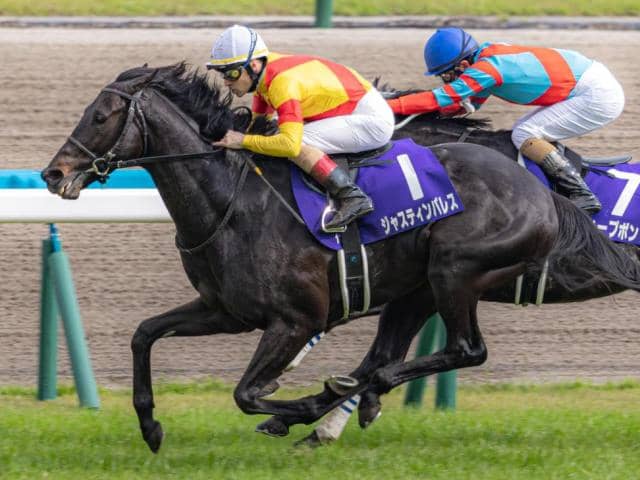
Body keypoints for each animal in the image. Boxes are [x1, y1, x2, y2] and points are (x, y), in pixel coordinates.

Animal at [41, 63, 640, 453]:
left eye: (102, 116)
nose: (53, 173)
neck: (232, 201)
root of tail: (544, 197)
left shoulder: (297, 317)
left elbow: (248, 392)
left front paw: (305, 407)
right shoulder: (228, 311)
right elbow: (145, 334)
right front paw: (150, 427)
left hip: (452, 273)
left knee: (464, 350)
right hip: (427, 286)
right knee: (404, 356)